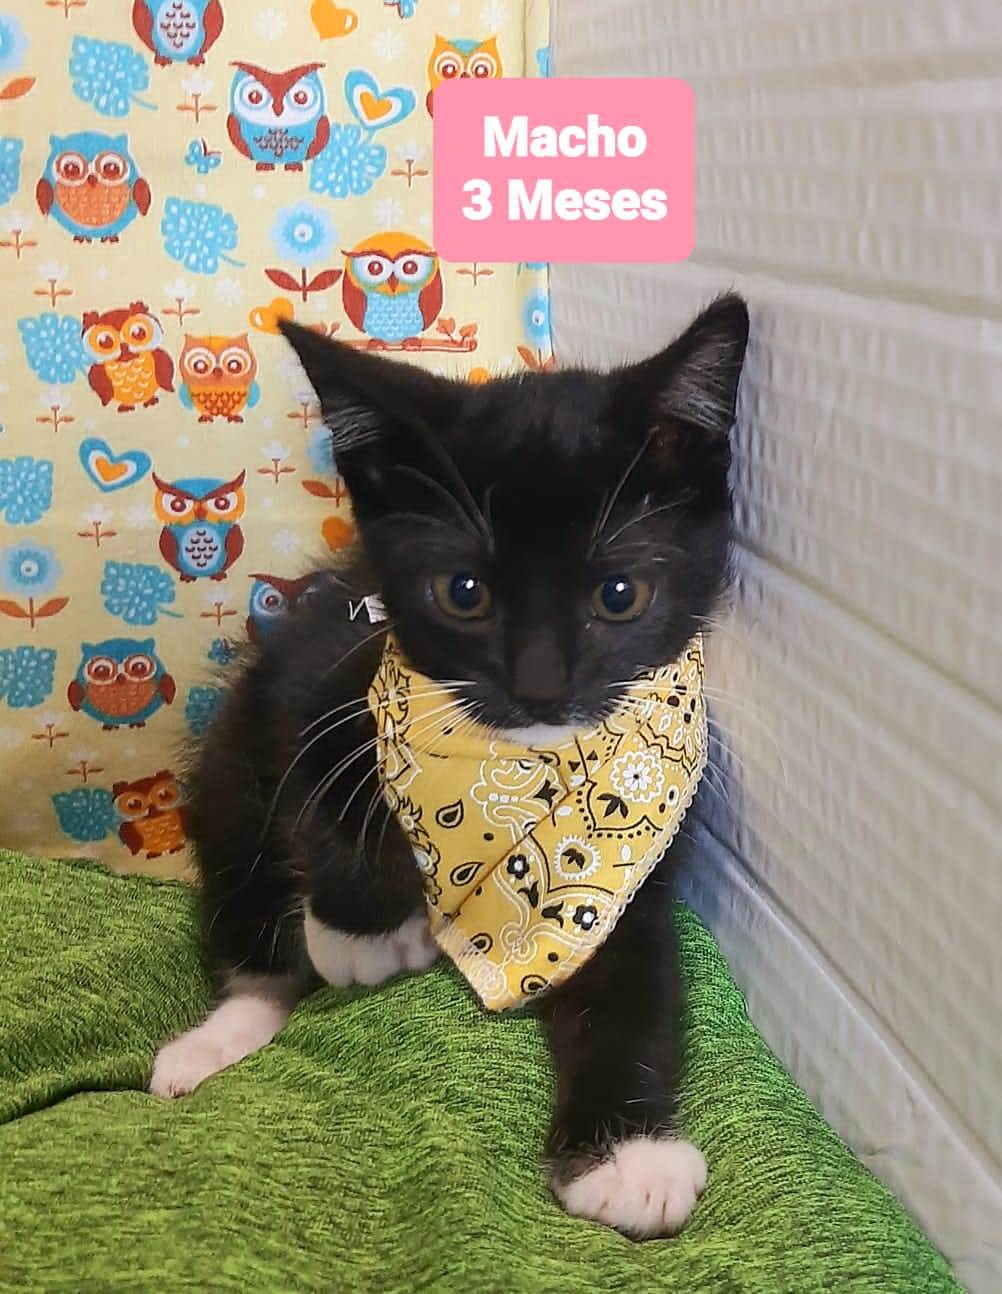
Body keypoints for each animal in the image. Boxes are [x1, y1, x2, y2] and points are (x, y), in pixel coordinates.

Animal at [150, 295, 749, 1238]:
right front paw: (362, 933)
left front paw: (628, 1157)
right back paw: (213, 1038)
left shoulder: (628, 860)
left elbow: (633, 975)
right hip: (223, 778)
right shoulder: (328, 667)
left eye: (620, 596)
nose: (539, 687)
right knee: (247, 898)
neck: (509, 778)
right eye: (462, 593)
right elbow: (315, 775)